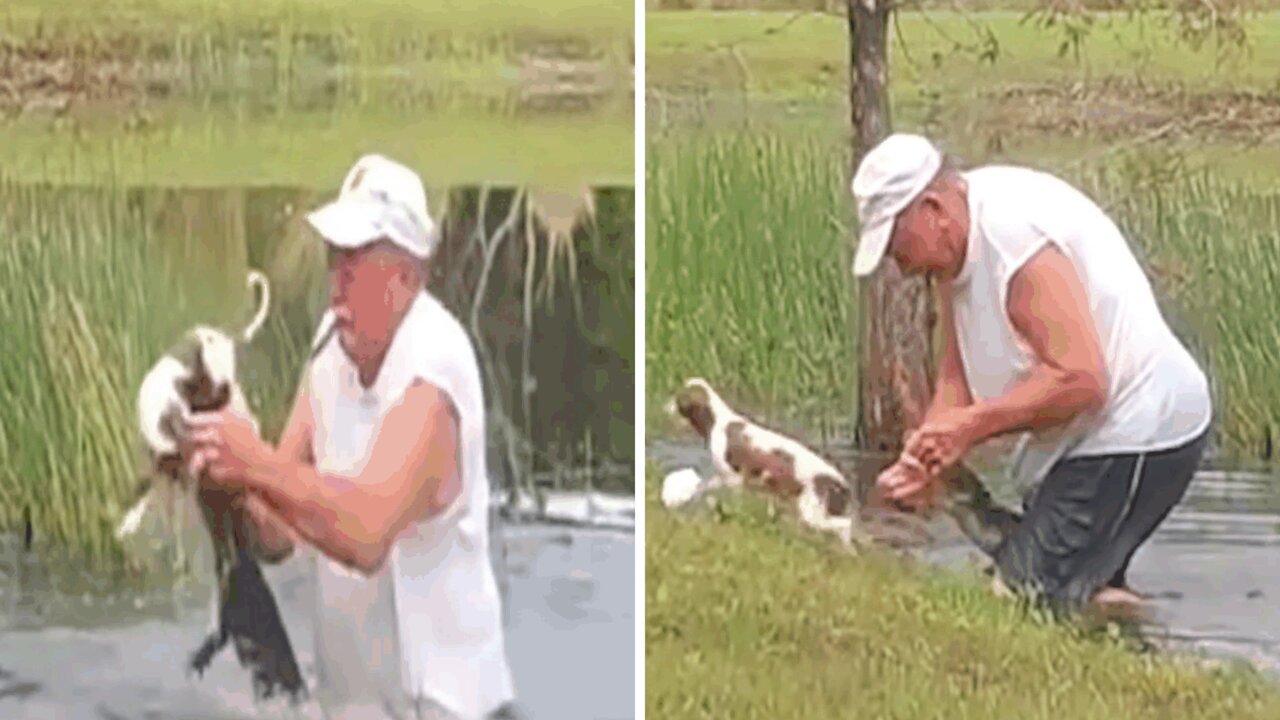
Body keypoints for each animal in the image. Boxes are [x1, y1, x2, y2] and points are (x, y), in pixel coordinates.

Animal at [670, 376, 870, 543]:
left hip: (812, 513)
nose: (667, 405)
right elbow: (700, 488)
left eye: (678, 398)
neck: (718, 420)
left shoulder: (732, 478)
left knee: (844, 525)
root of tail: (840, 482)